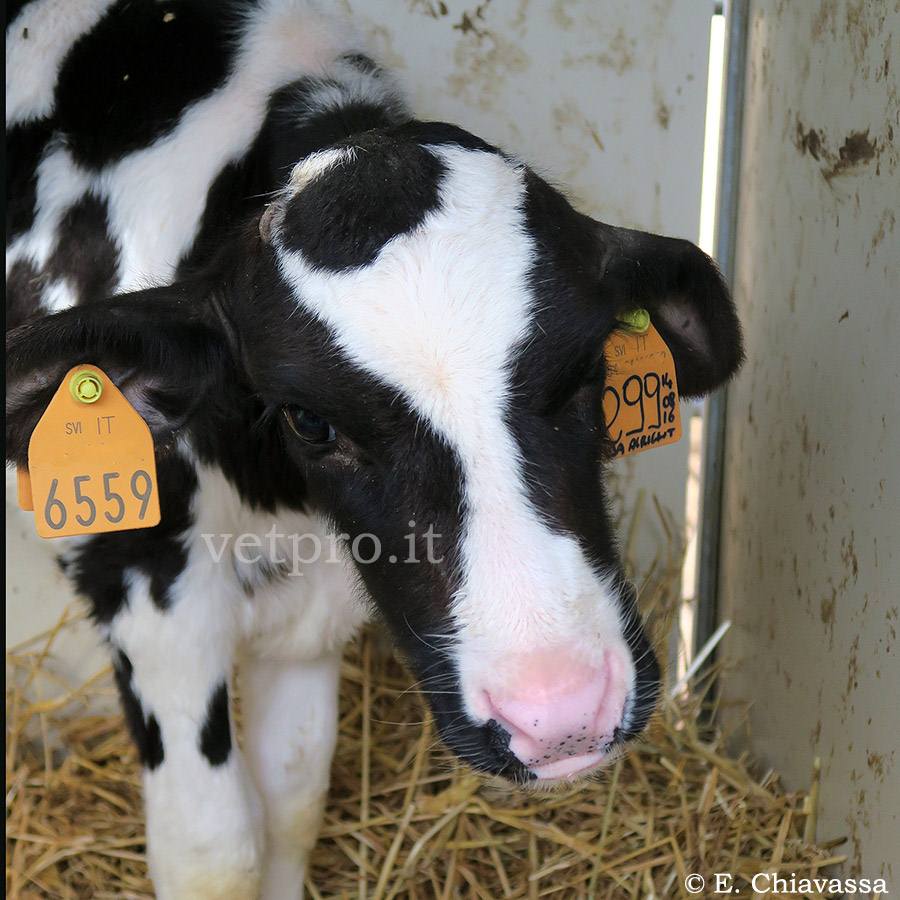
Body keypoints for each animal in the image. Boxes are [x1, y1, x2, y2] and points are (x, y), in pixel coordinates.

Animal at [5, 1, 743, 897]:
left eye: (588, 371)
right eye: (311, 421)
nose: (560, 714)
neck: (275, 504)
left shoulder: (313, 605)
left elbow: (292, 802)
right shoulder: (148, 589)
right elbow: (214, 852)